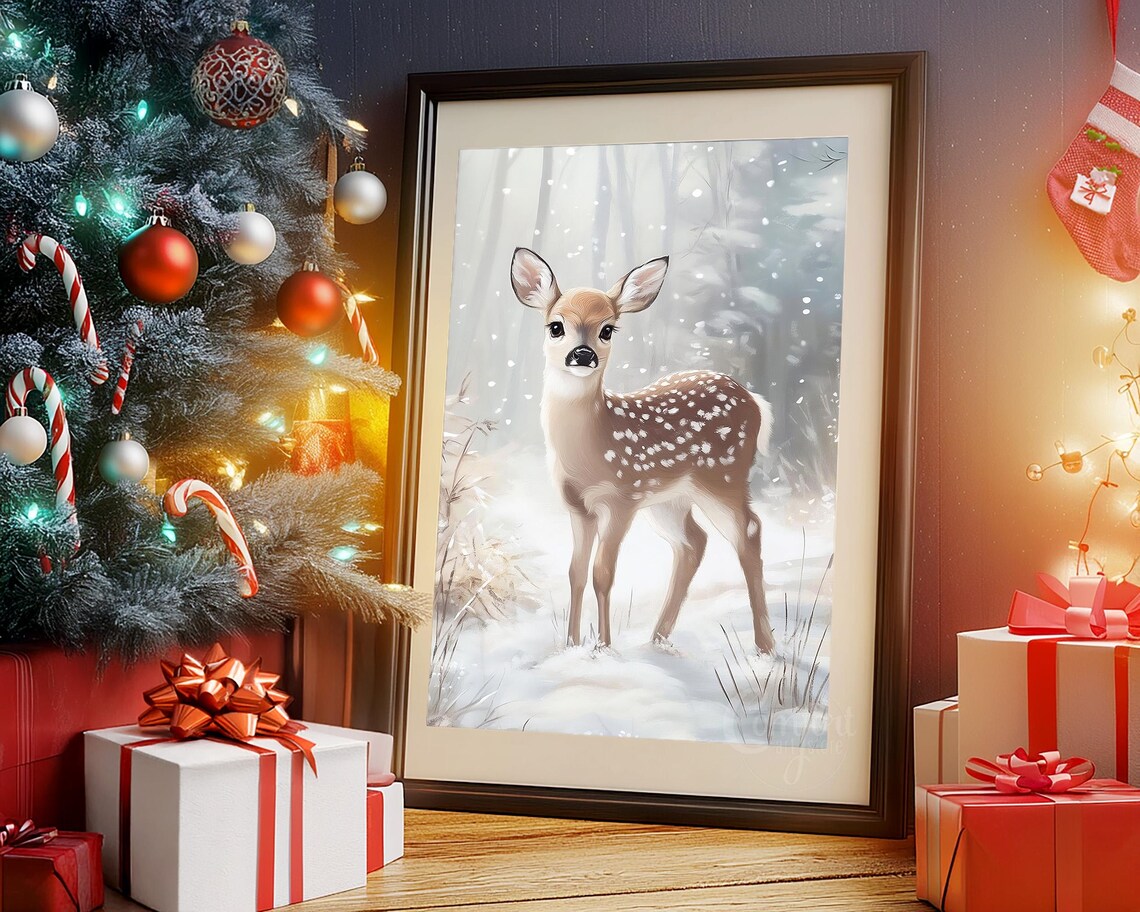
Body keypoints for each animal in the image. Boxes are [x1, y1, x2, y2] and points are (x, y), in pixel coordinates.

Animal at [510, 247, 777, 655]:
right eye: (556, 326)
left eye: (607, 329)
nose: (582, 354)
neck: (589, 447)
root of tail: (755, 401)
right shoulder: (578, 506)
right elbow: (575, 573)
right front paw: (571, 646)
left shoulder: (622, 498)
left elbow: (603, 573)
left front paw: (603, 648)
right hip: (670, 499)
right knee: (694, 542)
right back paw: (658, 639)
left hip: (724, 476)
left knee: (748, 531)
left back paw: (765, 646)